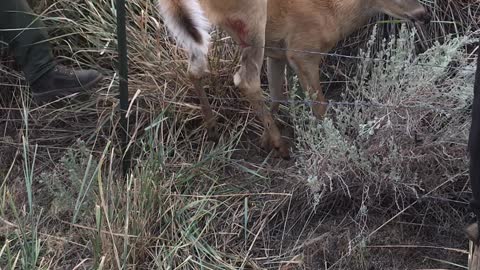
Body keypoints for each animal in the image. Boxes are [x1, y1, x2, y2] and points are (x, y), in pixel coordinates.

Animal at [157, 0, 432, 159]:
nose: (425, 14)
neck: (333, 13)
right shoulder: (303, 51)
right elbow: (319, 104)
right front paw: (332, 143)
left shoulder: (277, 53)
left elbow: (278, 93)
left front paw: (264, 139)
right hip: (253, 20)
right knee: (245, 79)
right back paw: (282, 147)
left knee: (195, 69)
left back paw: (213, 129)